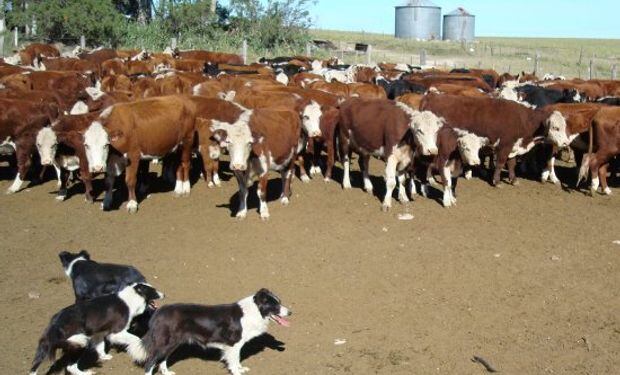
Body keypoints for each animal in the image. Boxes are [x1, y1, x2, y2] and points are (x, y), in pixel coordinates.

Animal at [29, 284, 165, 375]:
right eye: (153, 290)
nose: (164, 294)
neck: (131, 299)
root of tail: (57, 321)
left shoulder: (99, 333)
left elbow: (100, 346)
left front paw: (104, 357)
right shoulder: (116, 332)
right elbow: (135, 339)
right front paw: (140, 352)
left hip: (46, 344)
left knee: (34, 366)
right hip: (79, 342)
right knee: (70, 367)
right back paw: (86, 372)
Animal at [131, 290, 290, 375]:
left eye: (280, 301)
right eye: (275, 305)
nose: (290, 312)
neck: (255, 311)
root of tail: (159, 312)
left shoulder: (235, 346)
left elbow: (237, 359)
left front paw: (241, 368)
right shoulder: (234, 344)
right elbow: (234, 361)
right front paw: (237, 371)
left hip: (172, 343)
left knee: (162, 359)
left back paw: (167, 372)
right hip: (166, 342)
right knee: (151, 361)